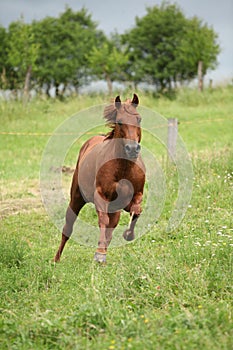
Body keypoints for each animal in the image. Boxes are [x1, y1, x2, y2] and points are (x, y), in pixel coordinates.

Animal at [54, 93, 146, 262]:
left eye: (139, 119)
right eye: (119, 121)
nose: (132, 149)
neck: (123, 168)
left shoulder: (134, 196)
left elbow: (136, 211)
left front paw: (128, 235)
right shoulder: (101, 196)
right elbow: (103, 220)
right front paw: (99, 255)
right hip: (76, 199)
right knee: (68, 228)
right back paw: (56, 260)